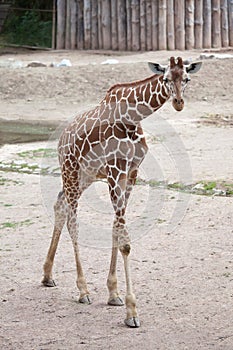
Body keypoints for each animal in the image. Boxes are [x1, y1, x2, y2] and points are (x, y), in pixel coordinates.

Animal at [42, 56, 202, 328]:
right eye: (165, 79)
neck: (132, 117)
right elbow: (125, 240)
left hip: (85, 176)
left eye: (187, 78)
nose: (179, 103)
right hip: (70, 170)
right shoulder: (115, 170)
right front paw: (131, 311)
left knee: (60, 204)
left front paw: (114, 294)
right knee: (73, 221)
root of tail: (61, 138)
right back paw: (82, 290)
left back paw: (47, 276)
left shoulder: (131, 172)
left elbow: (117, 231)